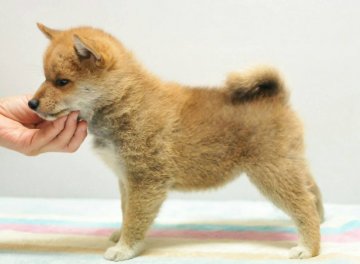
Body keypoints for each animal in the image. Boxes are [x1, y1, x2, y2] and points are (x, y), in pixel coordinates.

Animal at [28, 23, 324, 260]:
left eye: (62, 81)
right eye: (45, 77)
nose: (31, 104)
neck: (125, 102)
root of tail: (277, 97)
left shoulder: (145, 180)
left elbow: (135, 217)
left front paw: (125, 248)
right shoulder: (126, 178)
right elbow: (126, 211)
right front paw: (120, 234)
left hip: (272, 172)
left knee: (303, 205)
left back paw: (308, 247)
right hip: (291, 164)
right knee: (312, 191)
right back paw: (321, 219)